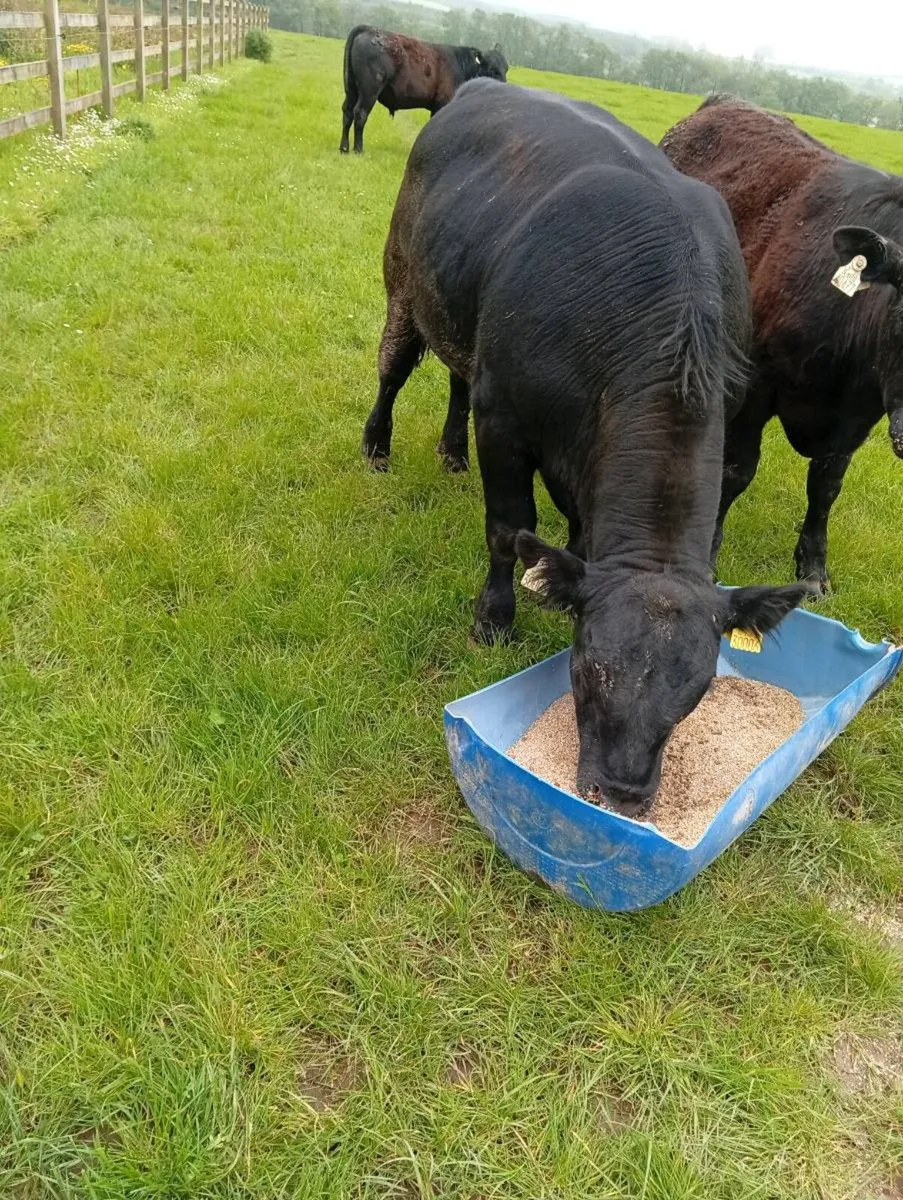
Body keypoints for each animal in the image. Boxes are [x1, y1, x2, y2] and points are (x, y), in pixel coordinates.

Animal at [340, 25, 508, 155]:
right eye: (492, 70)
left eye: (506, 68)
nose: (505, 87)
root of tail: (368, 28)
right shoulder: (443, 102)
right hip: (369, 90)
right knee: (360, 113)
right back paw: (358, 149)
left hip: (351, 88)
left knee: (347, 112)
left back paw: (344, 148)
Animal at [362, 81, 809, 817]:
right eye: (589, 666)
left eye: (697, 690)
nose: (621, 793)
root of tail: (480, 85)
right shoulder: (504, 417)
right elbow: (508, 527)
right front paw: (494, 618)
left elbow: (573, 536)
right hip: (404, 281)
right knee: (394, 366)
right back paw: (376, 445)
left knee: (456, 376)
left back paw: (451, 452)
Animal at [661, 95, 903, 591]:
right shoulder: (755, 382)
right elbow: (737, 470)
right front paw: (708, 558)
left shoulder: (859, 416)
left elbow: (826, 485)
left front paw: (813, 570)